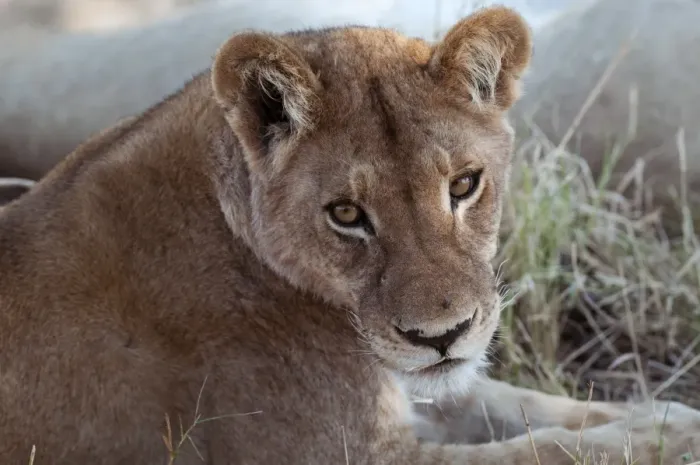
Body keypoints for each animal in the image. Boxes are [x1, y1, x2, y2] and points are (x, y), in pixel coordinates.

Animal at [1, 6, 699, 464]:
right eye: (345, 214)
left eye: (464, 184)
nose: (441, 336)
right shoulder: (357, 456)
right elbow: (542, 451)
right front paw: (663, 439)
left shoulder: (411, 387)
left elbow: (518, 403)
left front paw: (665, 414)